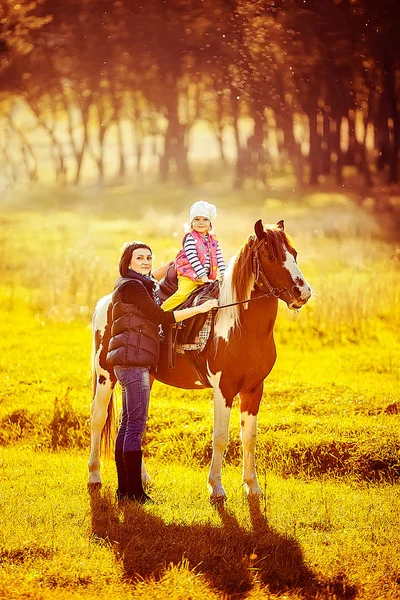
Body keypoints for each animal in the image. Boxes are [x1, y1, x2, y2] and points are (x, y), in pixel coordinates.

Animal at [88, 219, 312, 502]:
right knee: (98, 418)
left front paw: (252, 486)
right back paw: (94, 475)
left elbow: (249, 437)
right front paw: (216, 487)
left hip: (144, 378)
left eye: (294, 253)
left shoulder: (254, 389)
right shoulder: (224, 389)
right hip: (106, 376)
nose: (303, 292)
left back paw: (142, 478)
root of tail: (105, 302)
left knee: (132, 422)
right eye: (271, 256)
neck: (239, 324)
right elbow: (220, 437)